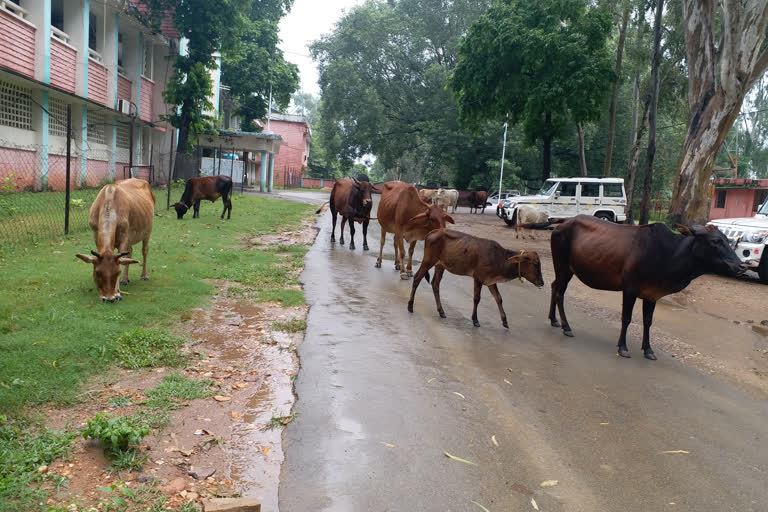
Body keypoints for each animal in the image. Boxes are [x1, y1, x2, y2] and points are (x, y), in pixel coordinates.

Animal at [408, 229, 544, 326]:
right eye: (535, 264)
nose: (542, 282)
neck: (499, 258)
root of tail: (431, 232)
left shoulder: (490, 281)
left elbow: (499, 298)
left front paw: (505, 321)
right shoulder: (478, 278)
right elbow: (477, 299)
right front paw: (475, 319)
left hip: (440, 265)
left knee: (435, 284)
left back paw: (441, 311)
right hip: (428, 261)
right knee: (417, 278)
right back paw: (410, 306)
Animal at [548, 216, 748, 360]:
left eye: (727, 240)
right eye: (715, 241)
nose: (741, 266)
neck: (668, 255)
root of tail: (562, 223)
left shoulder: (651, 294)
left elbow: (648, 321)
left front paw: (648, 349)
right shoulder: (629, 289)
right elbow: (626, 318)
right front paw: (623, 347)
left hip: (566, 269)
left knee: (553, 286)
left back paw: (554, 320)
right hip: (563, 266)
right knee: (560, 293)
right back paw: (566, 327)